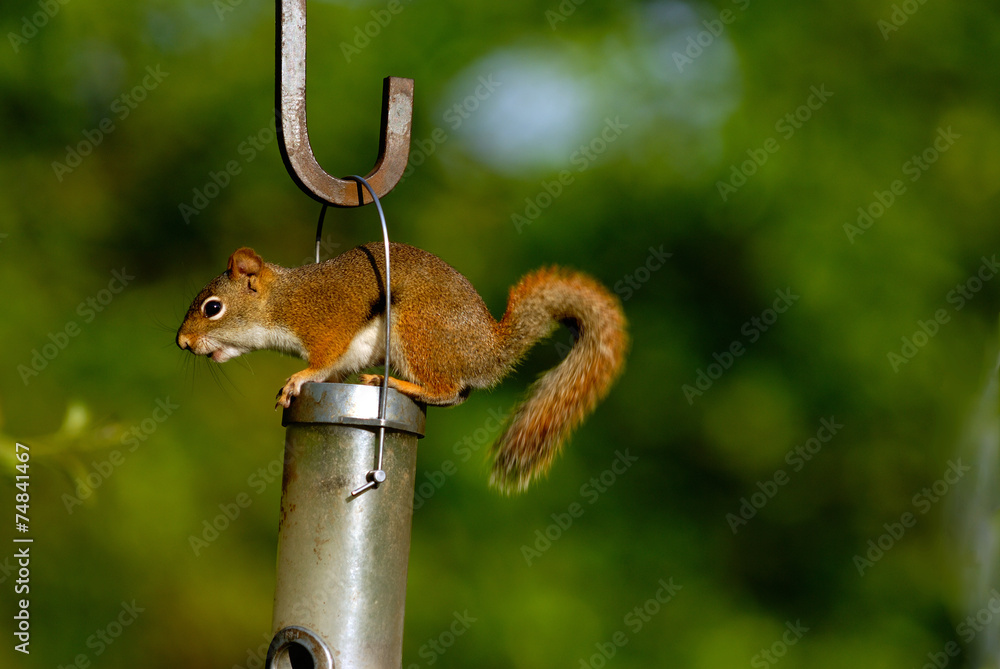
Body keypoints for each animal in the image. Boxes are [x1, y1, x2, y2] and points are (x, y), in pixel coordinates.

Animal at [176, 242, 628, 492]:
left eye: (213, 308)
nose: (182, 342)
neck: (282, 303)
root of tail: (488, 348)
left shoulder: (328, 326)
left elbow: (320, 364)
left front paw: (297, 380)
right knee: (458, 394)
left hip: (416, 328)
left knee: (447, 390)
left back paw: (394, 382)